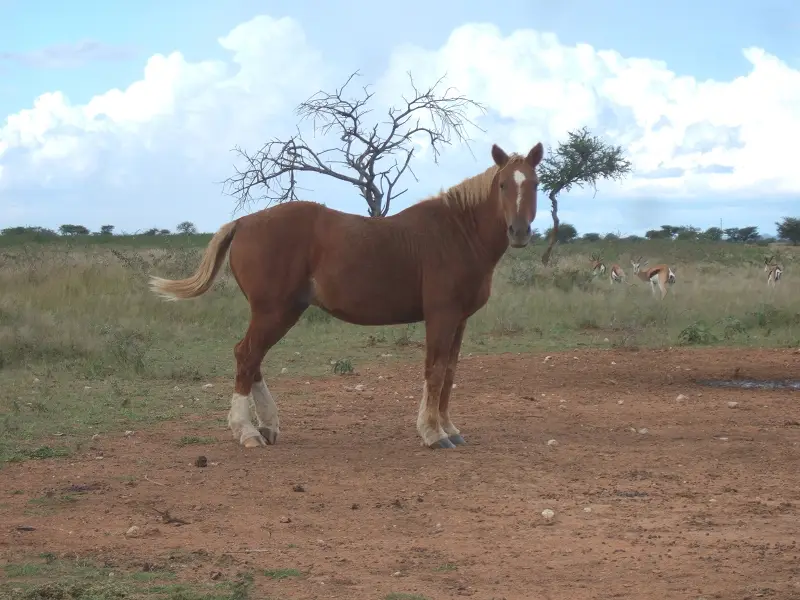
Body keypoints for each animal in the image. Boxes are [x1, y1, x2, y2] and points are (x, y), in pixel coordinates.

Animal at [149, 142, 544, 451]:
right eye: (503, 184)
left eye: (535, 183)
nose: (519, 231)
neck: (457, 233)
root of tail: (244, 221)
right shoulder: (441, 316)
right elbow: (434, 372)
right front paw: (433, 434)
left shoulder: (459, 321)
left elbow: (448, 373)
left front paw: (449, 429)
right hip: (272, 311)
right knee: (246, 356)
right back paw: (247, 432)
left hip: (281, 312)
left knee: (251, 358)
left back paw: (268, 426)